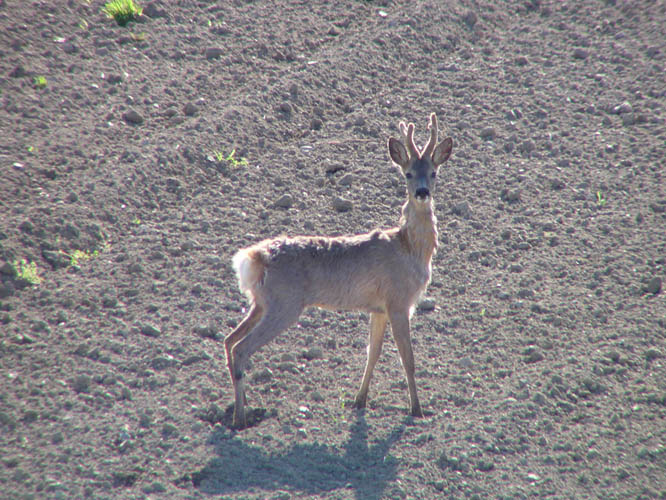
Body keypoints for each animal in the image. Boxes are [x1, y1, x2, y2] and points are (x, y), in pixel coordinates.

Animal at [223, 113, 452, 430]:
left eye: (434, 172)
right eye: (407, 173)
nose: (422, 192)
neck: (409, 248)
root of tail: (254, 257)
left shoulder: (379, 308)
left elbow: (372, 353)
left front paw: (360, 400)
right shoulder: (399, 302)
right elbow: (408, 358)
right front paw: (417, 410)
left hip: (261, 303)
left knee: (229, 341)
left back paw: (239, 410)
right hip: (285, 305)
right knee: (241, 348)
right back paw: (241, 419)